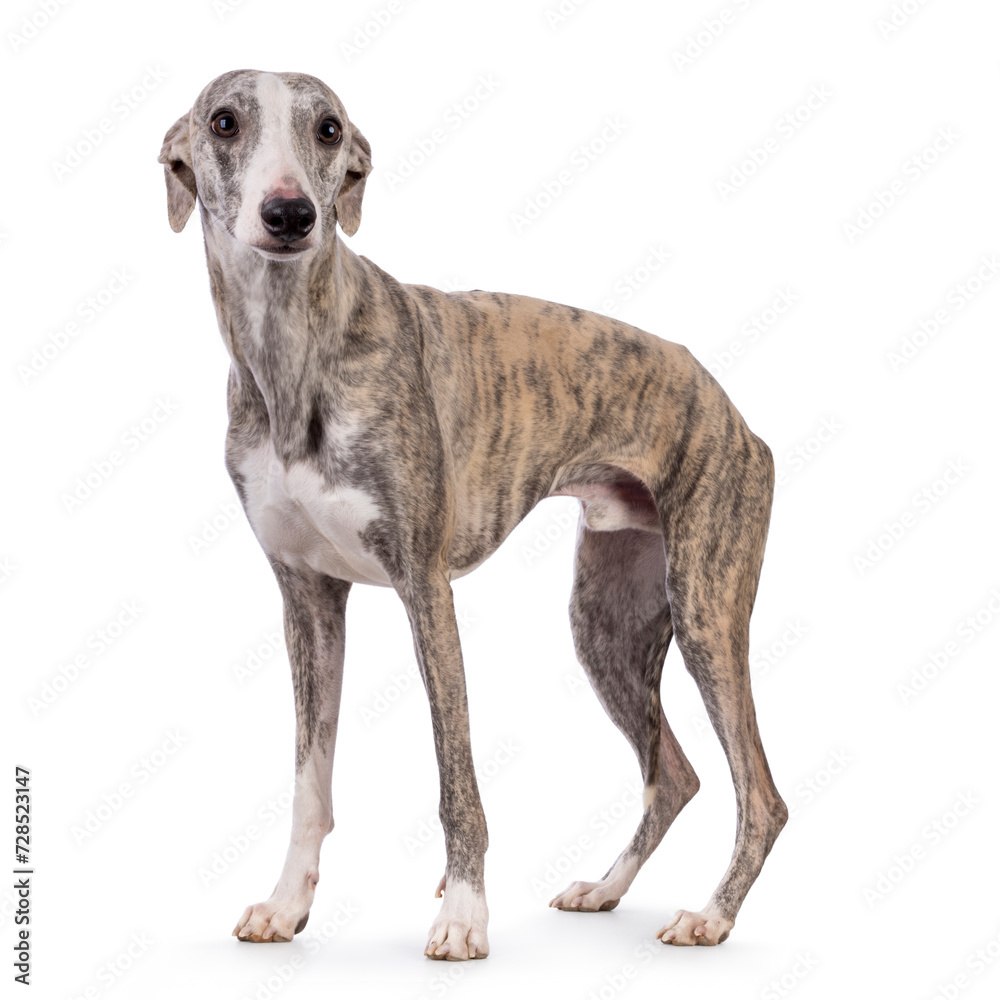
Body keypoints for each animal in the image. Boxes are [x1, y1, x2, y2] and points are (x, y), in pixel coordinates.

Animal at [158, 68, 788, 960]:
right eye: (223, 121)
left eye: (326, 128)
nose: (290, 215)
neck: (296, 352)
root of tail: (737, 414)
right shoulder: (308, 599)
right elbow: (309, 781)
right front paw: (286, 904)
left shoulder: (425, 589)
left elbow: (455, 775)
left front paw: (462, 914)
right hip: (606, 623)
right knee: (675, 774)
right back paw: (605, 888)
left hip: (704, 610)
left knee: (759, 793)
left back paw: (712, 915)